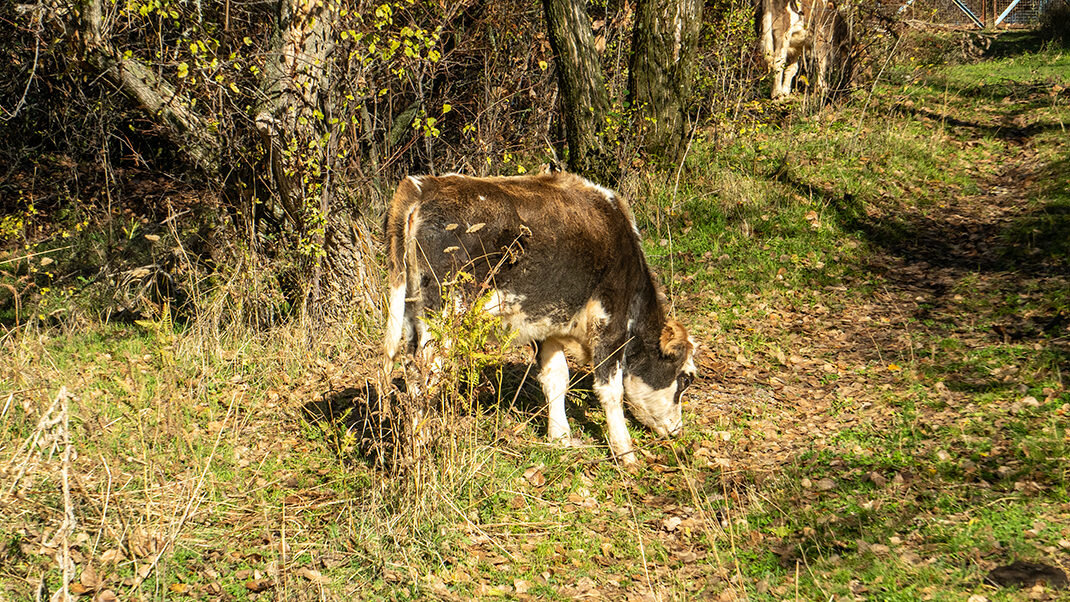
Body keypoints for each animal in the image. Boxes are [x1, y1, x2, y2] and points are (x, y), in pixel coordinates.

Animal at [380, 172, 697, 464]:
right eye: (685, 378)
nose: (677, 430)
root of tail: (423, 184)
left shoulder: (547, 325)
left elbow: (556, 378)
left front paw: (560, 437)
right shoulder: (610, 323)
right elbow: (611, 390)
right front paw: (625, 451)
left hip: (412, 312)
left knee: (411, 371)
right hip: (447, 315)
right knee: (425, 376)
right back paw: (422, 450)